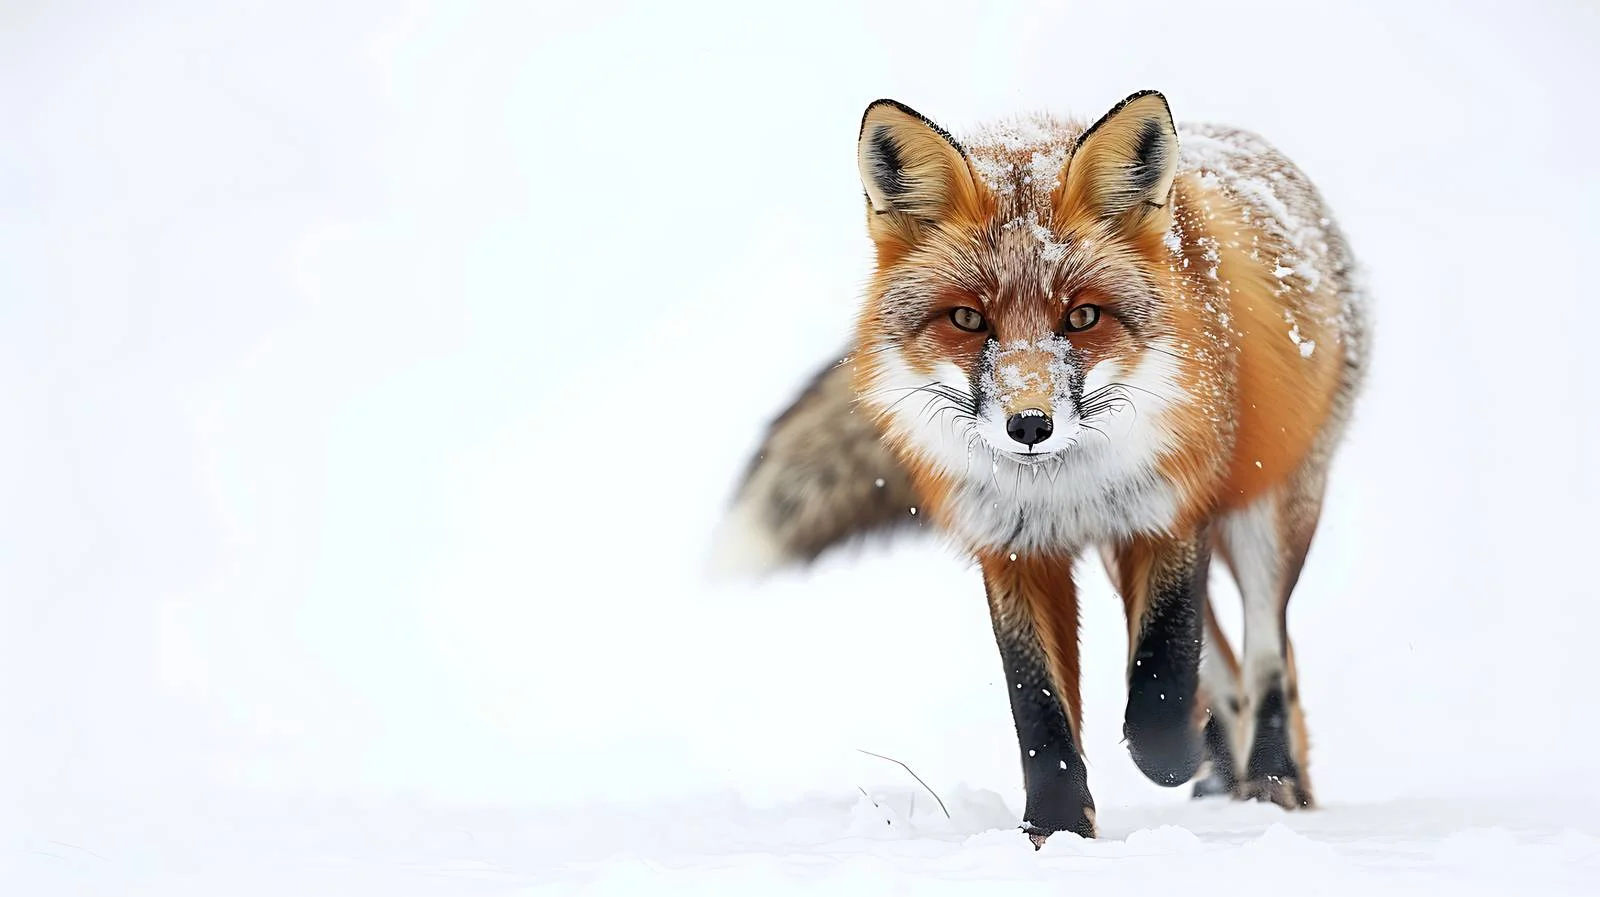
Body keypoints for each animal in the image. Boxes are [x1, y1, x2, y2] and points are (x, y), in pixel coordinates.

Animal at [714, 90, 1368, 846]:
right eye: (968, 319)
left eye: (1082, 317)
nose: (1029, 425)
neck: (1064, 489)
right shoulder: (1015, 547)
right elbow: (1039, 705)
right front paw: (1056, 828)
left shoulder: (1170, 513)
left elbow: (1162, 677)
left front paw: (1169, 758)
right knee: (1231, 665)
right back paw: (1224, 778)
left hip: (1267, 516)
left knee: (1267, 655)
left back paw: (1271, 778)